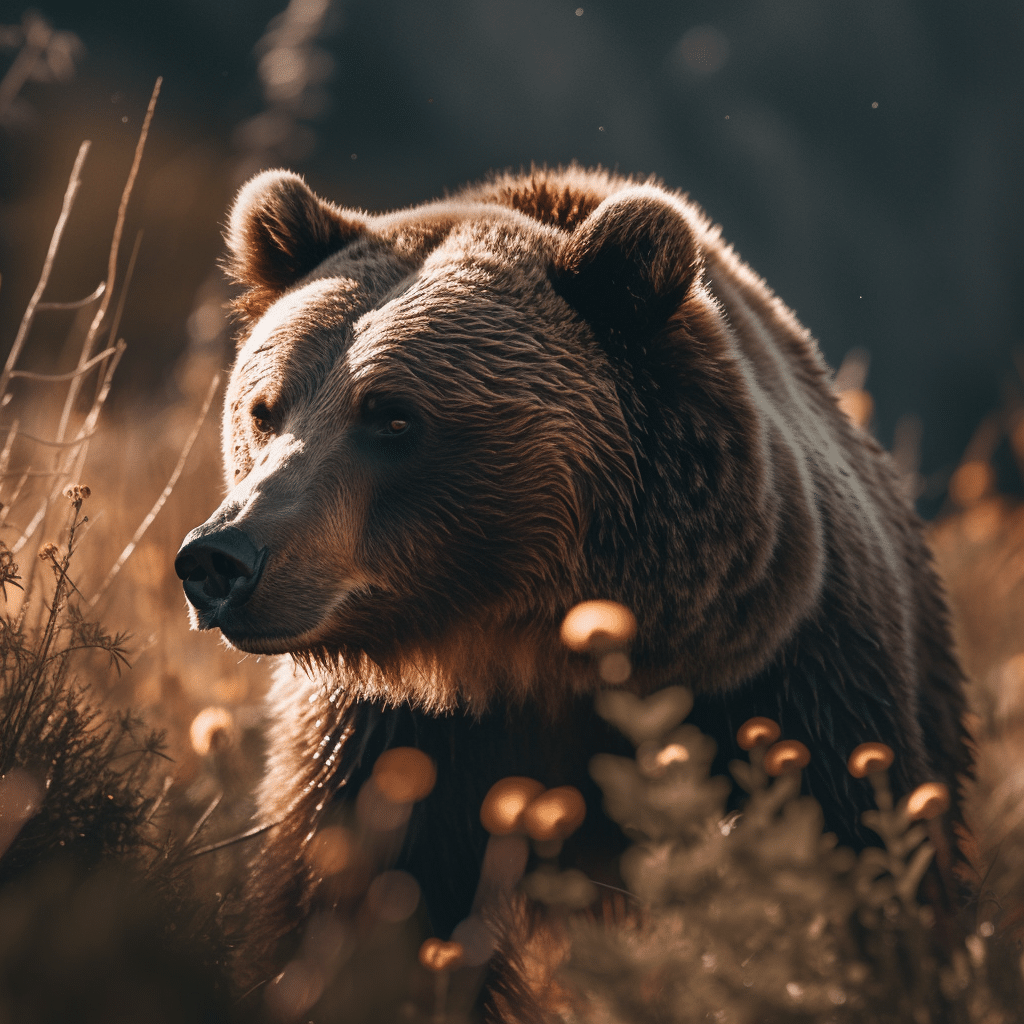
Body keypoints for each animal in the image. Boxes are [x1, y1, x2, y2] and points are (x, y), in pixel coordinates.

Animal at [174, 163, 966, 1011]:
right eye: (265, 409)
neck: (532, 647)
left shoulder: (790, 688)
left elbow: (850, 888)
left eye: (392, 417)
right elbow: (349, 914)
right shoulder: (386, 746)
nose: (220, 558)